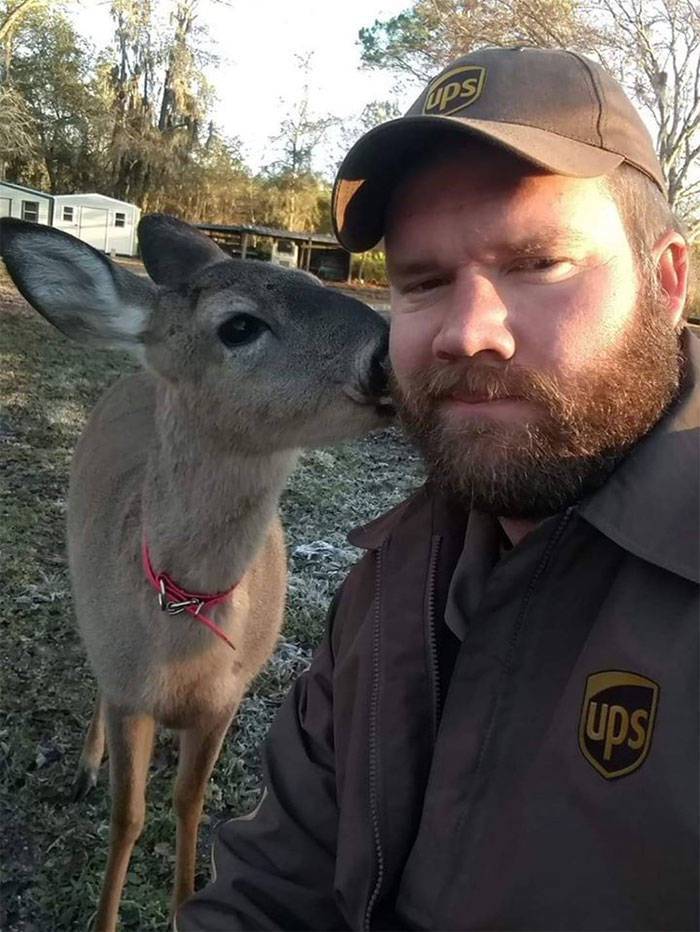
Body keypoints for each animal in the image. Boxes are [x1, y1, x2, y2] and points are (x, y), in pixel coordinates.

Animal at [0, 213, 394, 932]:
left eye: (312, 278)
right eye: (238, 325)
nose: (388, 351)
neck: (183, 643)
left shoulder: (226, 700)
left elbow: (189, 801)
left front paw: (184, 902)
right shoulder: (130, 691)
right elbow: (127, 816)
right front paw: (104, 917)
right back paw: (85, 766)